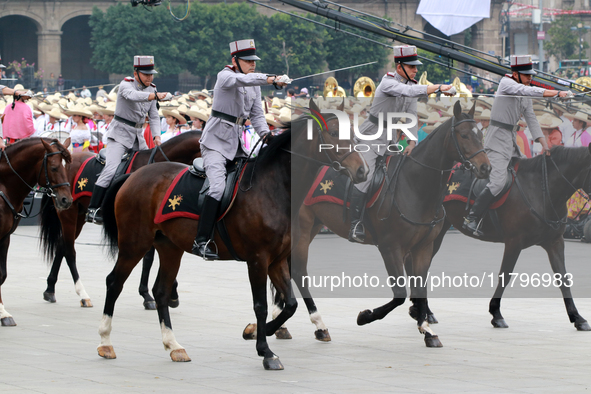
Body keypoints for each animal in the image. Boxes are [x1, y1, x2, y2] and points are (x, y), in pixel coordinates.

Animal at [0, 138, 73, 326]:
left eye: (67, 167)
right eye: (54, 167)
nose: (66, 200)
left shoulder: (5, 238)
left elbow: (1, 274)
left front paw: (3, 313)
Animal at [40, 131, 204, 310]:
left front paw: (168, 293)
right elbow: (148, 259)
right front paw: (149, 295)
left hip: (79, 217)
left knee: (61, 246)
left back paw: (50, 288)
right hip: (68, 214)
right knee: (68, 249)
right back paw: (75, 293)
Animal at [95, 98, 368, 370]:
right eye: (335, 133)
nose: (363, 171)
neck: (273, 188)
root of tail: (133, 176)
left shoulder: (277, 260)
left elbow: (290, 304)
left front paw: (257, 331)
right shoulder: (258, 259)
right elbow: (261, 305)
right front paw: (265, 351)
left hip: (170, 248)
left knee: (161, 292)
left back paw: (174, 345)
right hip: (134, 243)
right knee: (114, 282)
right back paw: (106, 341)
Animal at [282, 101, 490, 348]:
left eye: (481, 135)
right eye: (465, 135)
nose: (486, 168)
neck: (415, 185)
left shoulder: (423, 247)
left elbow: (420, 286)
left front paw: (427, 329)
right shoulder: (391, 248)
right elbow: (400, 293)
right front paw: (365, 316)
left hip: (311, 226)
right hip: (301, 230)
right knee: (298, 271)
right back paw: (314, 324)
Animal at [412, 143, 591, 330]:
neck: (540, 190)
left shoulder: (555, 242)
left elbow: (563, 278)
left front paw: (577, 317)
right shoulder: (514, 241)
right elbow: (505, 275)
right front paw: (496, 313)